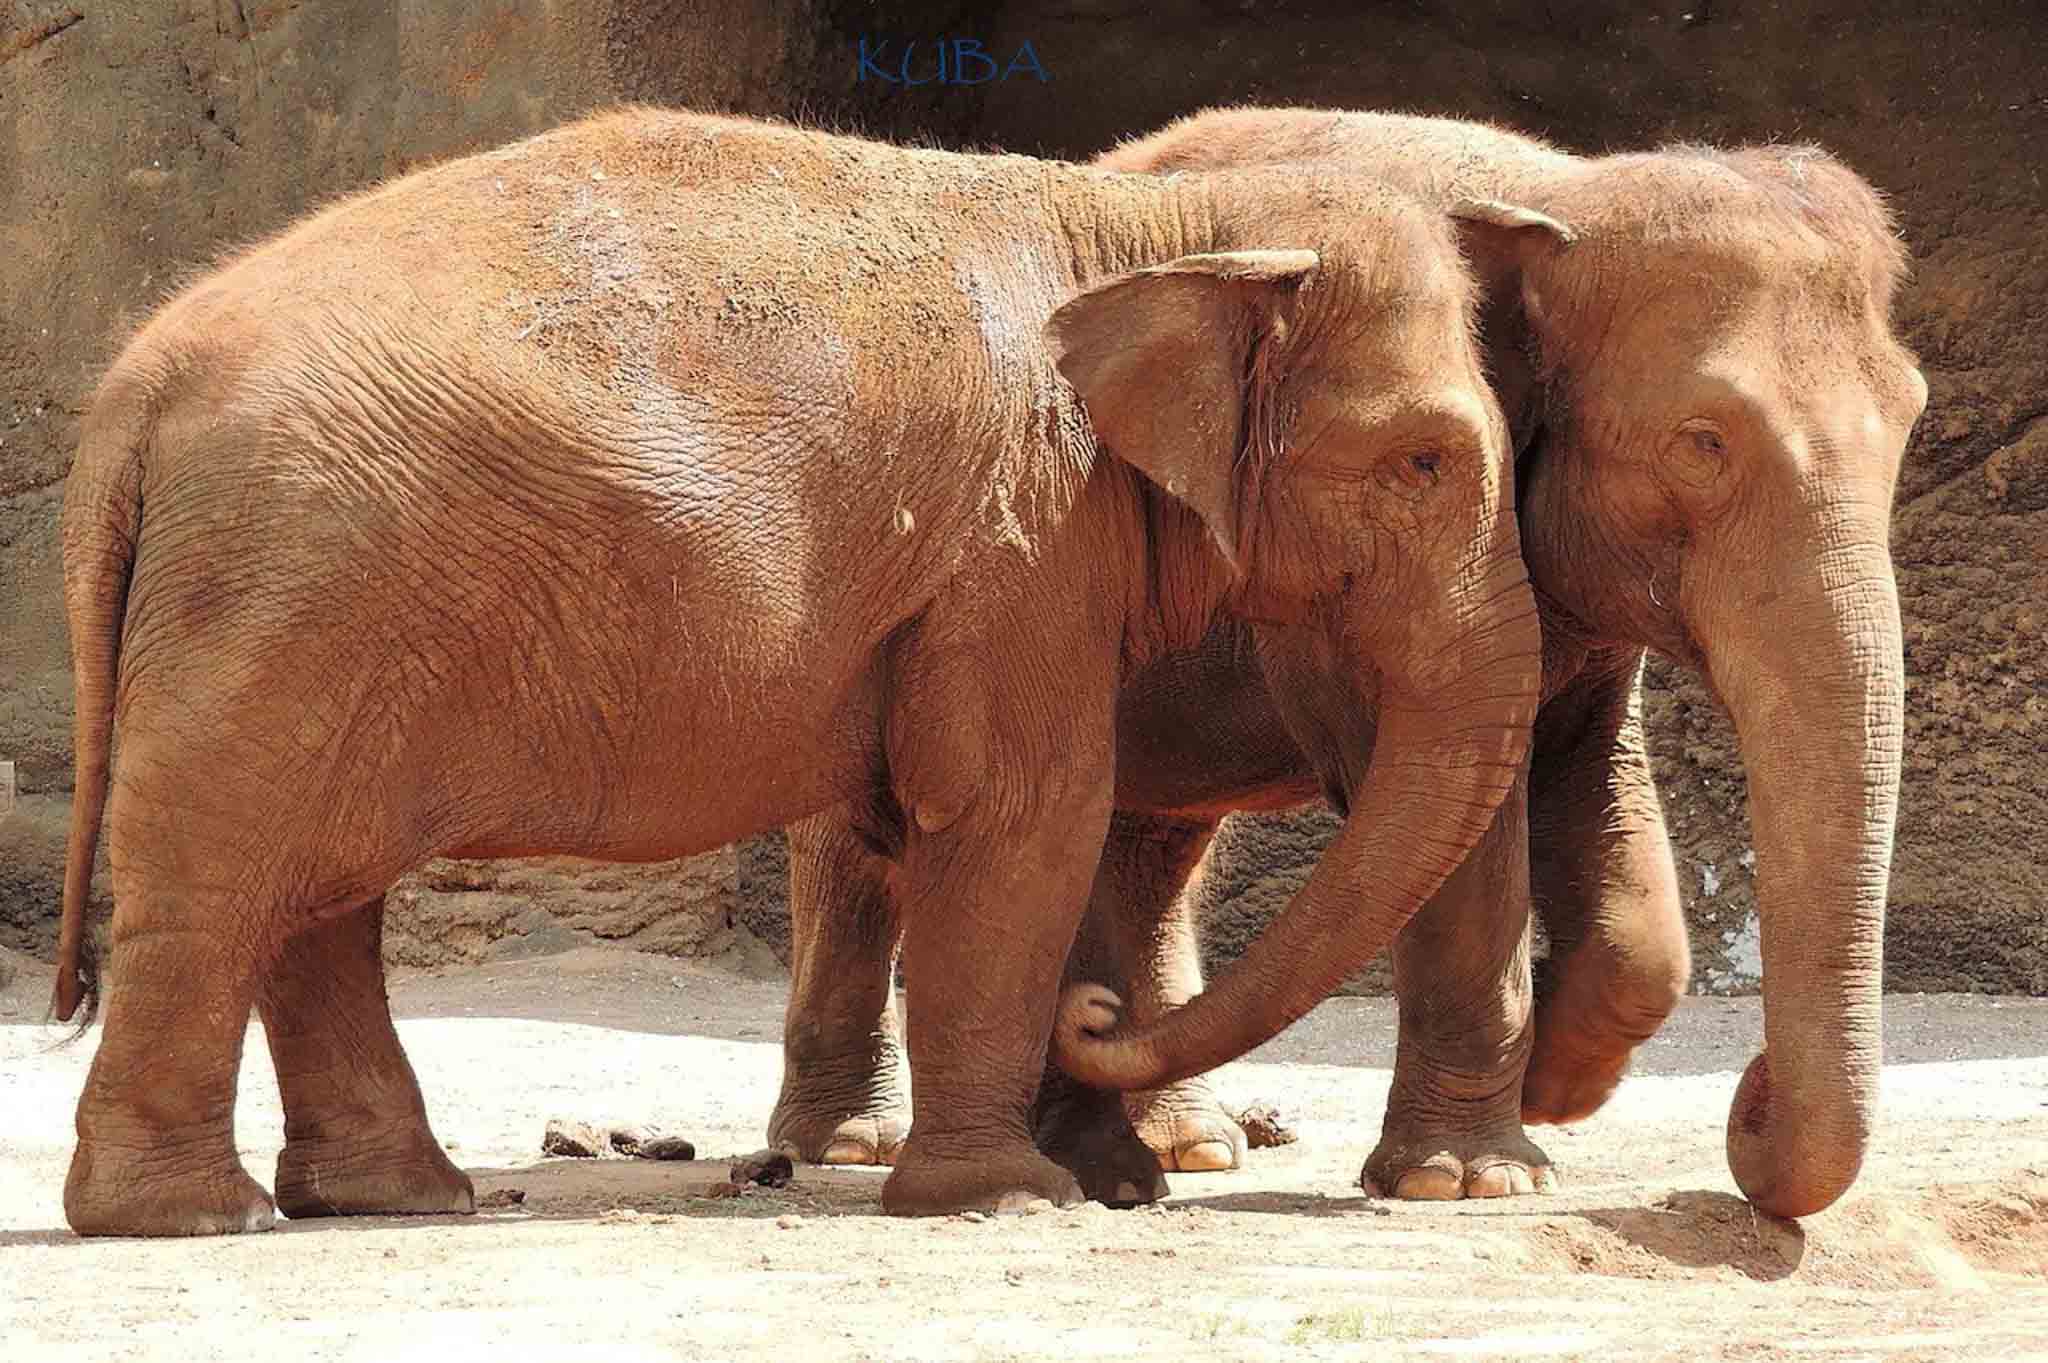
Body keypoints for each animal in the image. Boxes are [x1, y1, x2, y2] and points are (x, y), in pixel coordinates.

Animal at [49, 106, 1557, 1236]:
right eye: (1424, 459)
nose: (1100, 1012)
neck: (1158, 228)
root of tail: (132, 399)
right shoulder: (1020, 541)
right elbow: (1023, 813)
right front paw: (1007, 1199)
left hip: (318, 610)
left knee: (318, 893)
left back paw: (394, 1197)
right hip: (282, 600)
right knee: (226, 885)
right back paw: (197, 1217)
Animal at [770, 109, 1928, 1219]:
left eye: (1912, 417)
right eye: (1703, 442)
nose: (1751, 1096)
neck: (1559, 188)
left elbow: (1595, 796)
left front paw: (1556, 1080)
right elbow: (1446, 812)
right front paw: (1467, 1177)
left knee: (1147, 840)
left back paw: (1184, 1145)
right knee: (865, 842)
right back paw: (852, 1141)